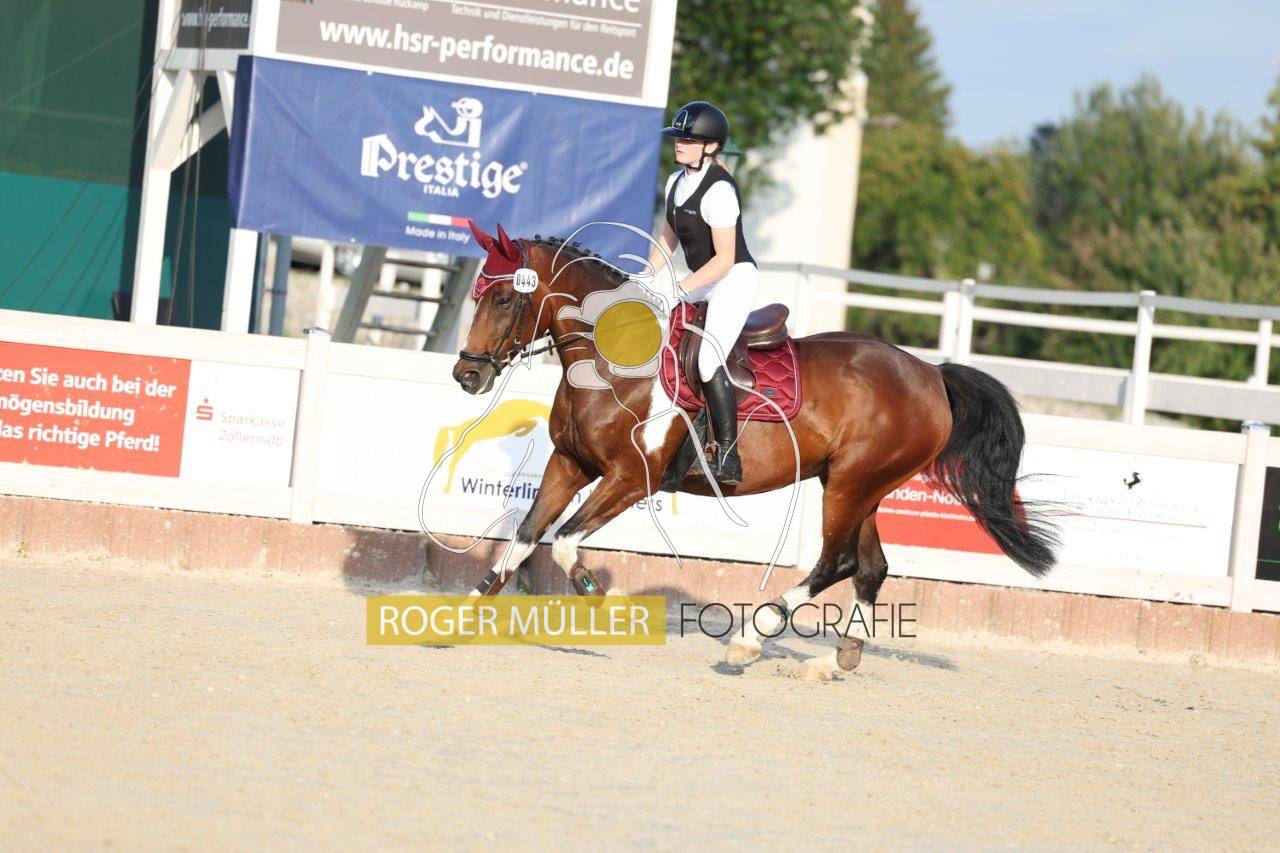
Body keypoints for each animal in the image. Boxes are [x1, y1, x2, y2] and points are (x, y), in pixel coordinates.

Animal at [450, 222, 1058, 676]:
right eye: (477, 294)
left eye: (503, 299)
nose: (466, 376)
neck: (611, 360)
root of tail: (930, 374)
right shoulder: (569, 465)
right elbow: (524, 540)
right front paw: (458, 623)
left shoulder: (629, 479)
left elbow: (564, 543)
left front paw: (614, 607)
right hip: (861, 485)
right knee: (870, 567)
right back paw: (838, 658)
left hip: (850, 483)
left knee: (834, 561)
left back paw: (750, 639)